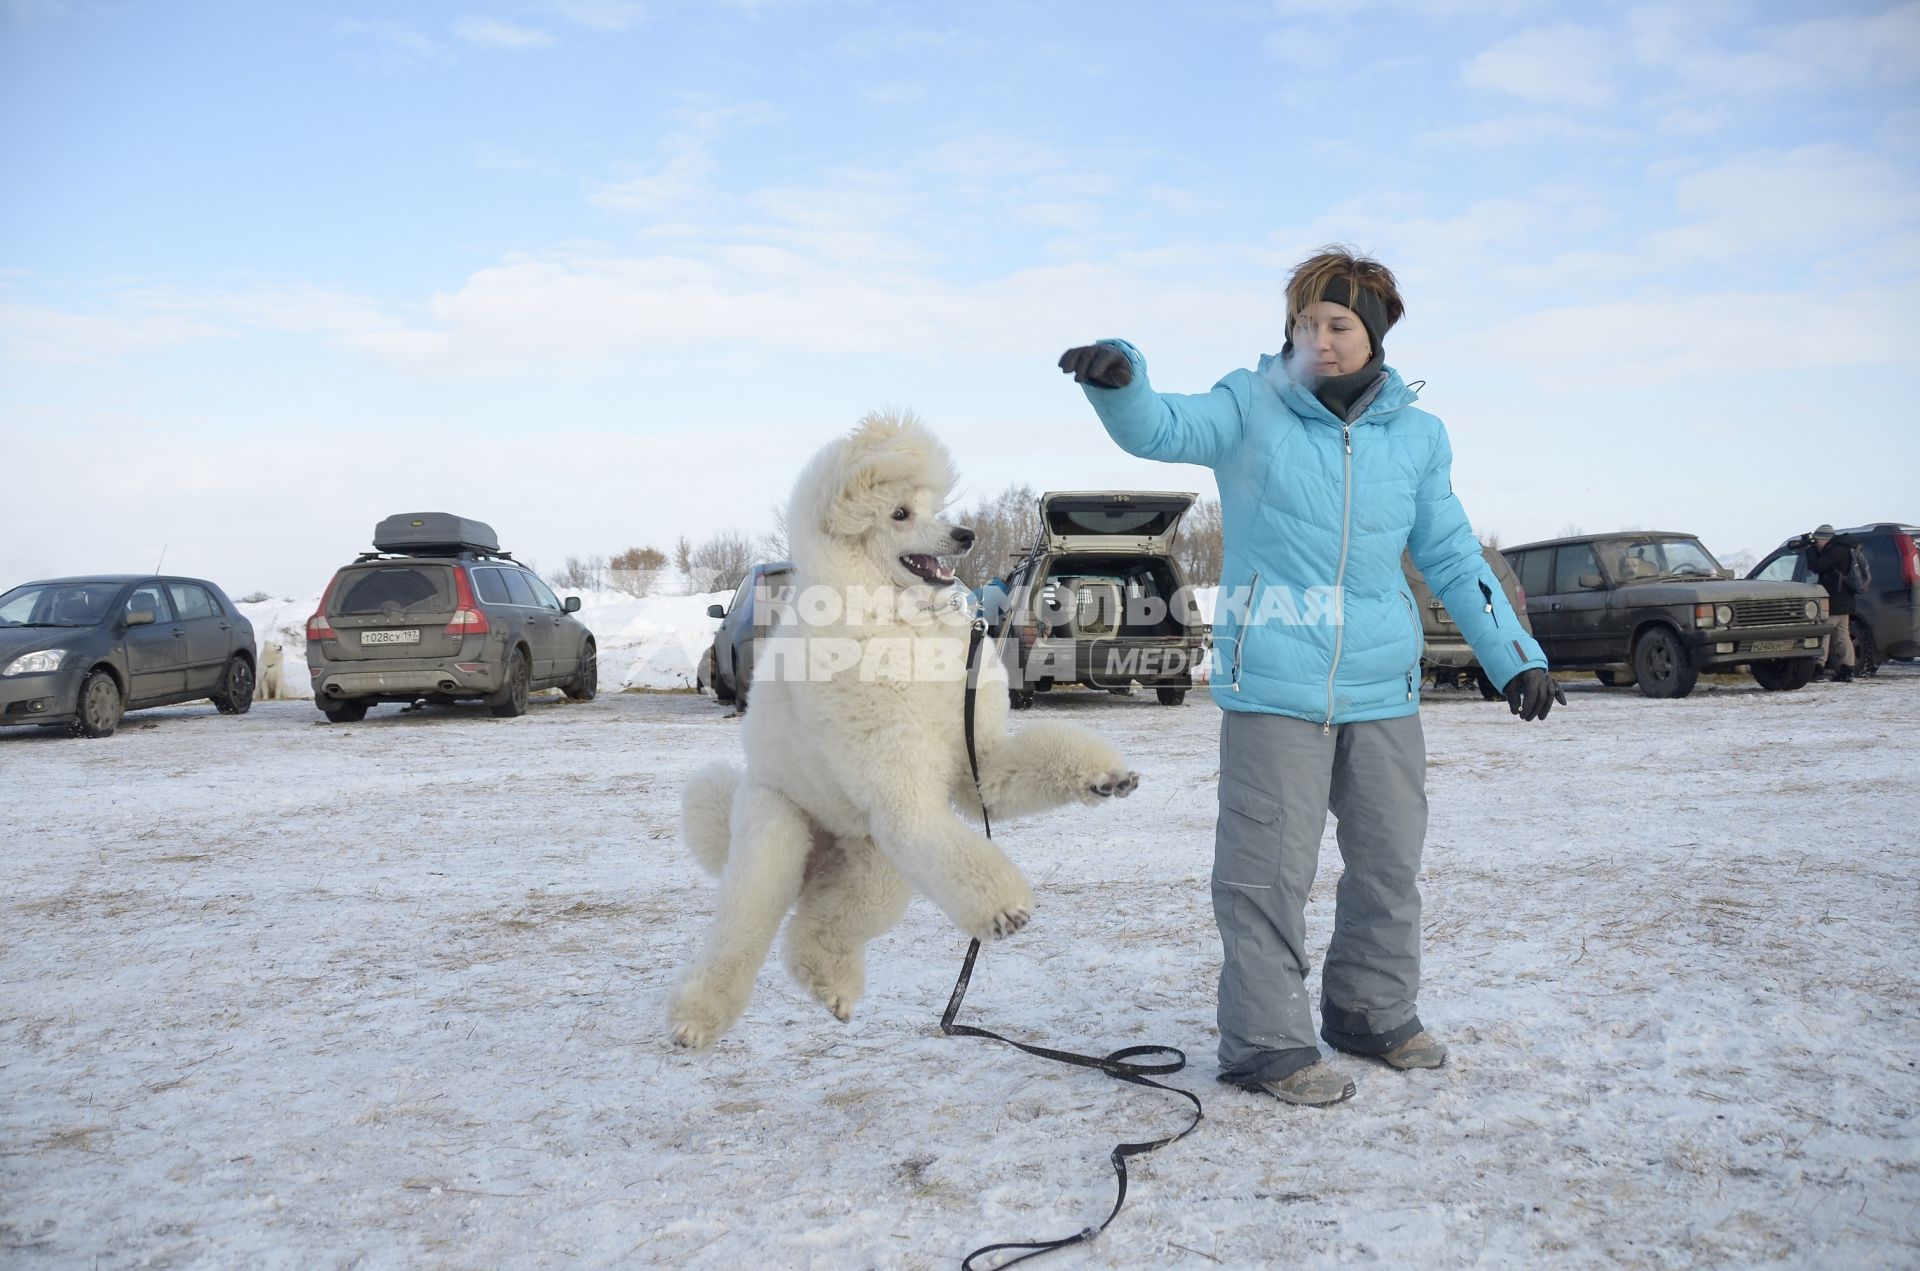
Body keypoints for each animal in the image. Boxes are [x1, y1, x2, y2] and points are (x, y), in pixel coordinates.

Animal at [668, 412, 1136, 1052]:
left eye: (933, 507)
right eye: (898, 514)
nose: (964, 536)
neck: (897, 619)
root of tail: (820, 856)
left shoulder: (975, 765)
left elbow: (1021, 767)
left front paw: (1106, 777)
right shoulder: (904, 796)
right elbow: (959, 851)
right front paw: (1005, 909)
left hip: (877, 869)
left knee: (819, 926)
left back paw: (832, 987)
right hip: (777, 838)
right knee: (743, 930)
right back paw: (697, 1018)